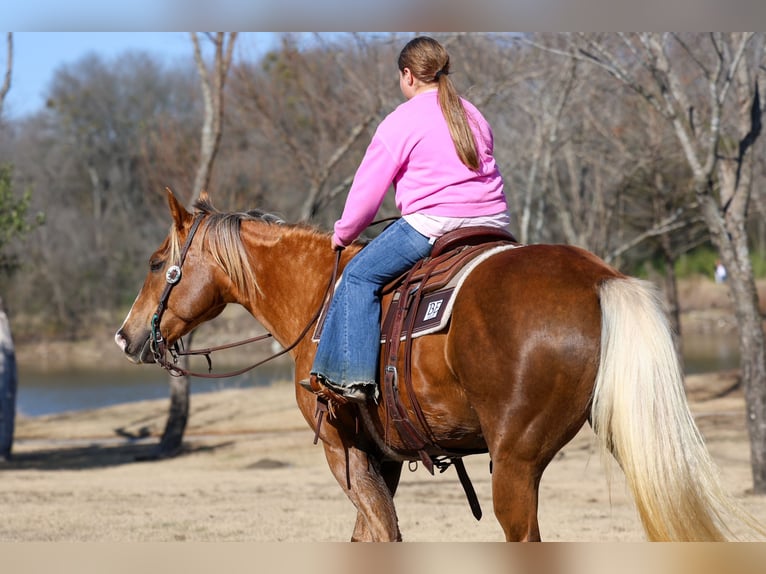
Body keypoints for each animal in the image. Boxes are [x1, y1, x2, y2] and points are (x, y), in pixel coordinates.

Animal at [115, 189, 764, 541]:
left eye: (156, 263)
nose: (125, 336)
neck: (318, 298)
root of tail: (596, 276)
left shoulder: (342, 448)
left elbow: (382, 532)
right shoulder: (381, 455)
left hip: (516, 464)